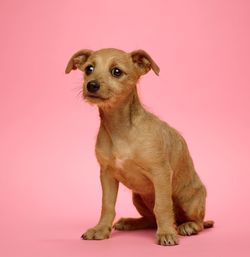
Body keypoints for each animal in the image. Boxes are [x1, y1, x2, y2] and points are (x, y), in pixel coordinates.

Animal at [64, 47, 213, 245]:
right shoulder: (107, 175)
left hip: (189, 201)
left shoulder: (161, 173)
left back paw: (186, 226)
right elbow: (107, 205)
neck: (120, 128)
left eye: (116, 71)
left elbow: (162, 206)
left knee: (198, 222)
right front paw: (101, 229)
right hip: (138, 197)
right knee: (150, 220)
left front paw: (166, 233)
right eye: (89, 69)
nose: (91, 85)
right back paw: (130, 222)